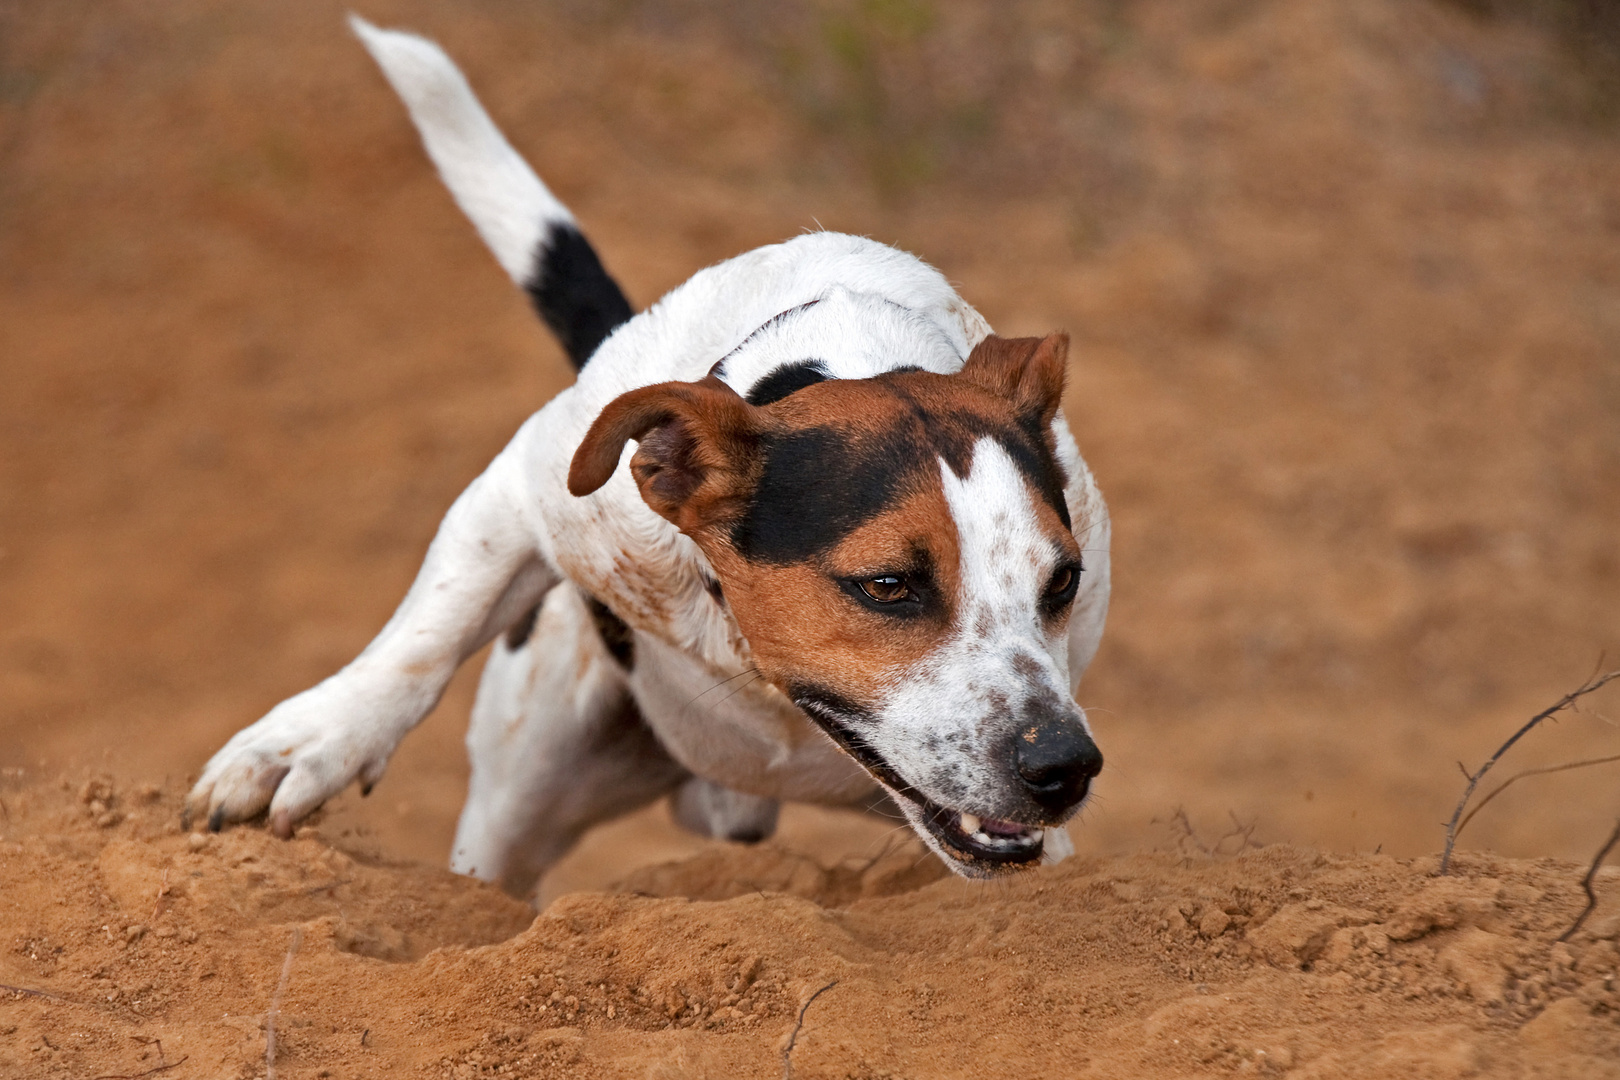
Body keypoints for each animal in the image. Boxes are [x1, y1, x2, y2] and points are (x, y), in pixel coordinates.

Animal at [183, 19, 1108, 893]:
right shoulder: (528, 492)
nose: (1064, 767)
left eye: (1064, 581)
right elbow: (428, 630)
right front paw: (311, 741)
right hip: (523, 792)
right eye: (887, 586)